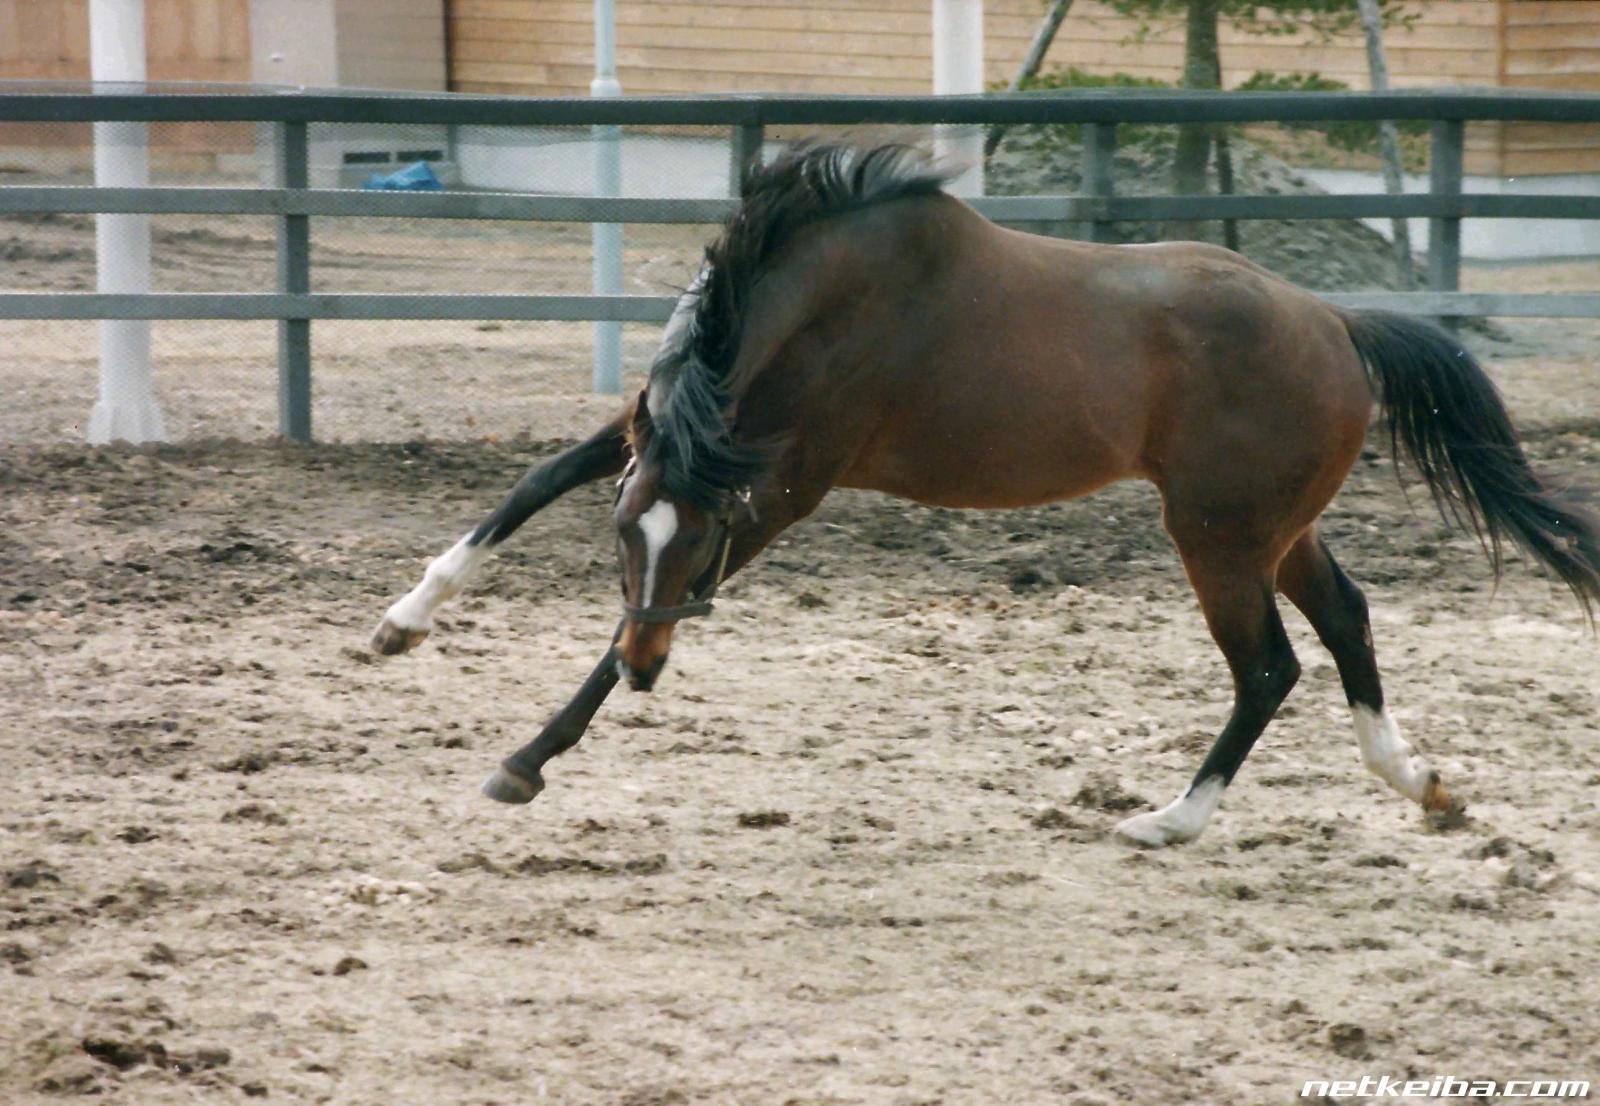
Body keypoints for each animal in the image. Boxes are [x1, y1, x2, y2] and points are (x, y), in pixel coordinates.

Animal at [374, 140, 1600, 845]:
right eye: (625, 532)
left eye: (703, 541)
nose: (646, 669)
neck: (821, 303)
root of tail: (1340, 324)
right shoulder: (682, 437)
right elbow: (534, 478)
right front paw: (400, 621)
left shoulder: (782, 486)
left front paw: (526, 759)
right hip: (1273, 529)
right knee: (1345, 619)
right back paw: (1419, 782)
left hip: (1216, 535)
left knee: (1267, 666)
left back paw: (1170, 819)